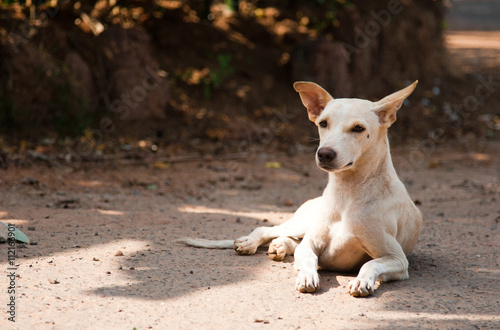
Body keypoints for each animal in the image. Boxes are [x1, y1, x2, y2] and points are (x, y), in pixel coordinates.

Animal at [180, 81, 422, 298]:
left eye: (358, 128)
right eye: (323, 123)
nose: (324, 153)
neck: (347, 193)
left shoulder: (397, 259)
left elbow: (371, 264)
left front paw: (362, 281)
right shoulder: (311, 245)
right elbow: (309, 258)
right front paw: (307, 277)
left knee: (288, 240)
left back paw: (280, 246)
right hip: (301, 223)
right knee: (268, 229)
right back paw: (252, 242)